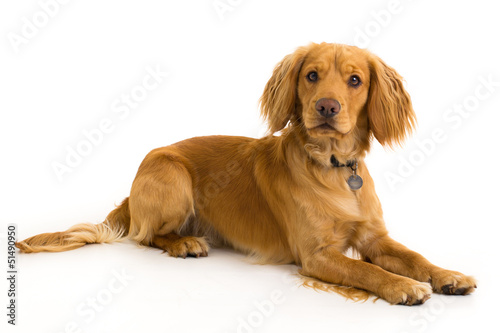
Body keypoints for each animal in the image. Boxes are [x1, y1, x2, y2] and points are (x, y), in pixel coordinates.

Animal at [16, 42, 476, 304]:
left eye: (355, 80)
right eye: (312, 75)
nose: (327, 107)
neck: (332, 169)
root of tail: (130, 194)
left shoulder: (373, 238)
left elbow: (414, 257)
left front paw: (447, 276)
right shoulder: (316, 255)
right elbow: (368, 271)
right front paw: (402, 287)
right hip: (172, 174)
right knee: (145, 235)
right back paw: (184, 243)